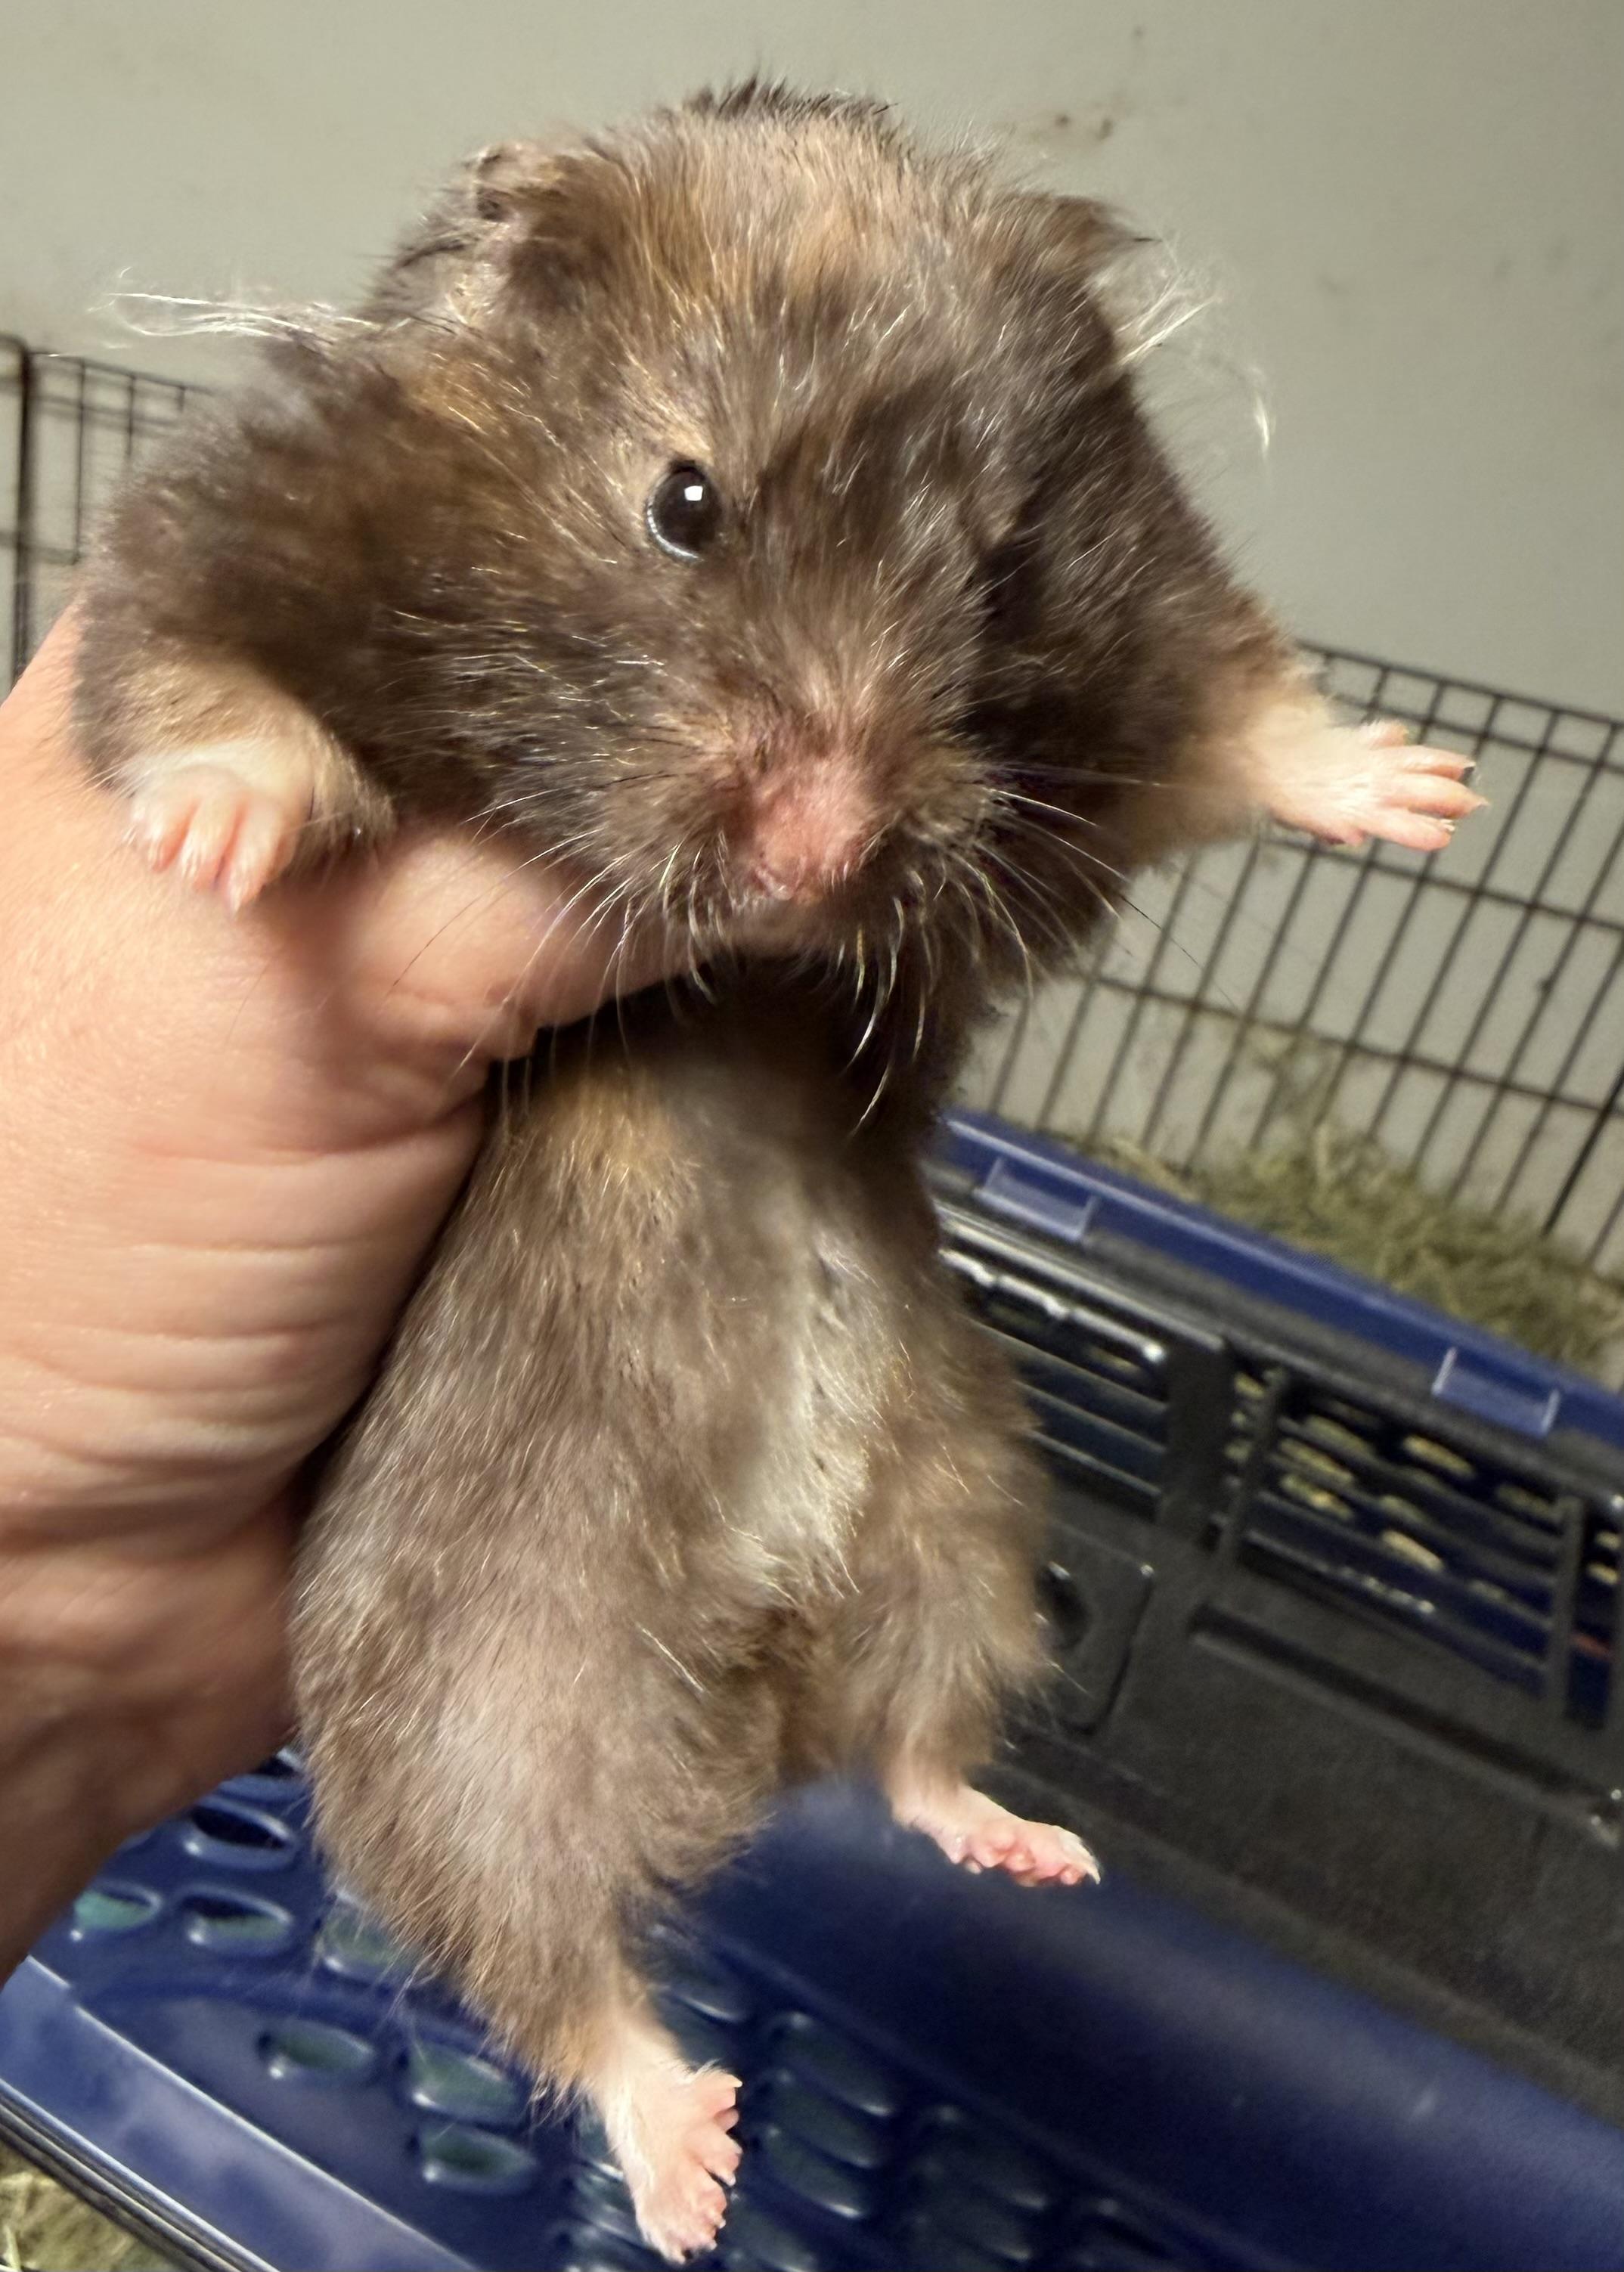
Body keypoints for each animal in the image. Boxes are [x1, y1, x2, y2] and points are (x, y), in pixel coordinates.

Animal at [71, 82, 1483, 2260]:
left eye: (1000, 560)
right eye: (683, 504)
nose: (818, 858)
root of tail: (759, 1678)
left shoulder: (1141, 628)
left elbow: (1240, 713)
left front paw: (1430, 792)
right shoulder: (259, 515)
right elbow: (190, 665)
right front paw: (215, 858)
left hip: (966, 1523)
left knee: (904, 1762)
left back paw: (1005, 1861)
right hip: (466, 1700)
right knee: (547, 1951)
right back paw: (691, 2157)